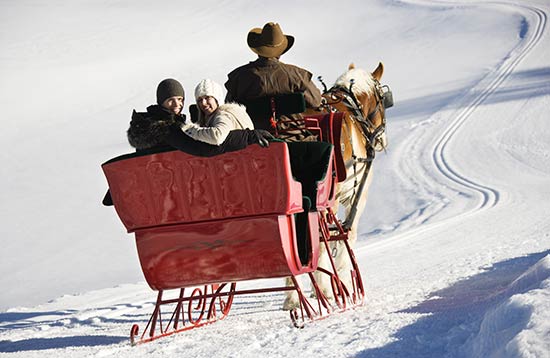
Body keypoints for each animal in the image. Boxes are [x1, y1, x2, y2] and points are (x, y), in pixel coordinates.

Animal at [284, 63, 392, 310]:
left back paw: (293, 296)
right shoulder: (356, 195)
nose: (382, 141)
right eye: (383, 99)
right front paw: (343, 277)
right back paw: (323, 288)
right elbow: (347, 233)